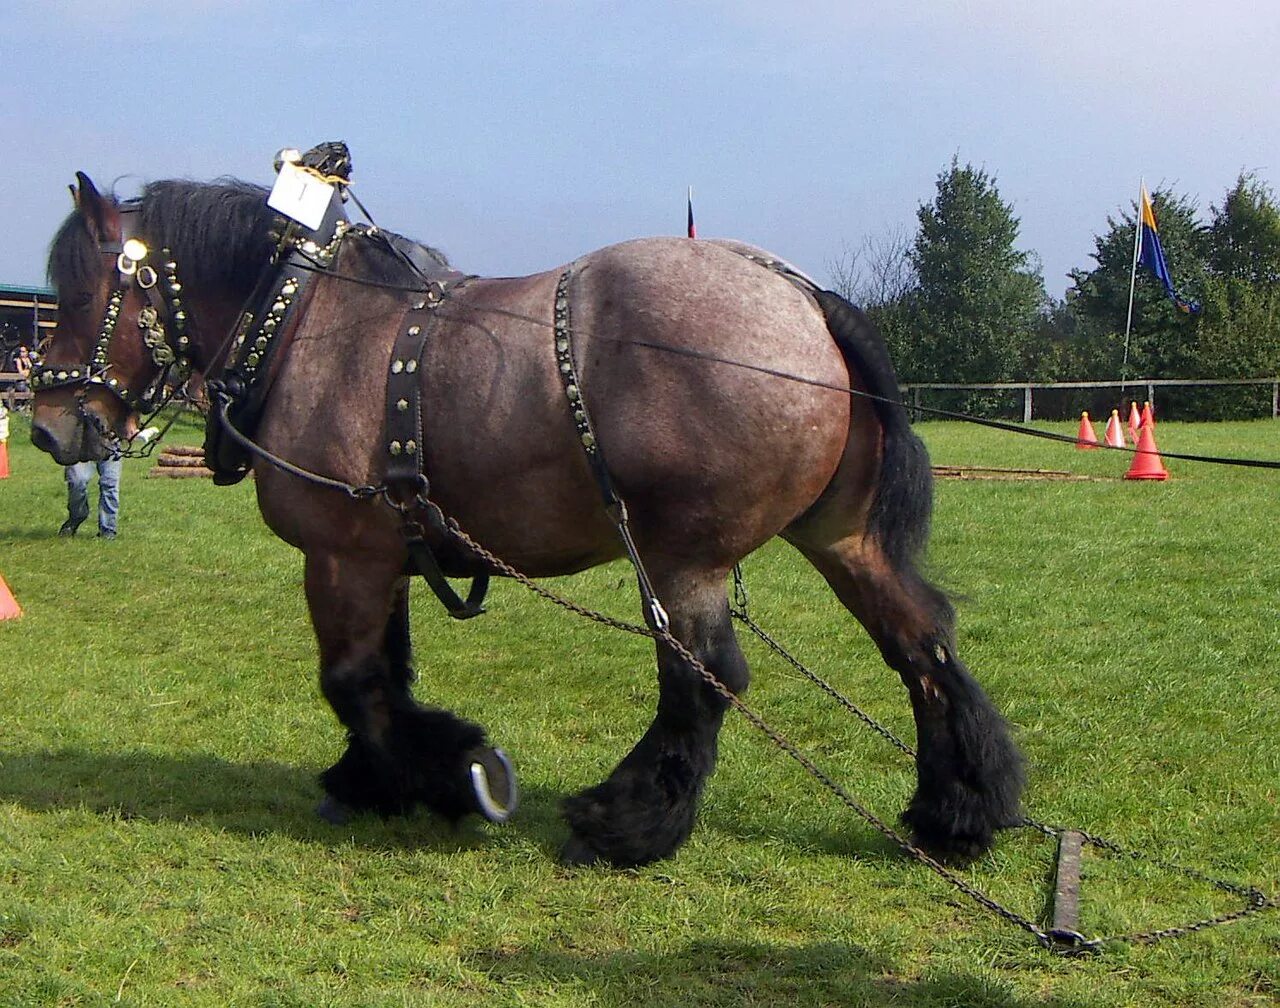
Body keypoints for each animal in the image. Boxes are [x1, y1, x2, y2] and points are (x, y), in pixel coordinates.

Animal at [32, 172, 1029, 864]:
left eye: (78, 298)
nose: (46, 426)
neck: (304, 326)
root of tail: (800, 296)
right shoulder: (386, 551)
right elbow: (384, 675)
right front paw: (376, 778)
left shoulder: (340, 552)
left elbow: (352, 680)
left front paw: (454, 774)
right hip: (838, 537)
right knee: (921, 643)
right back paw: (959, 808)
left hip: (681, 555)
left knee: (705, 678)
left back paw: (625, 823)